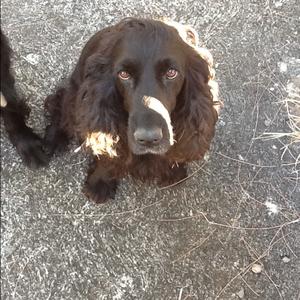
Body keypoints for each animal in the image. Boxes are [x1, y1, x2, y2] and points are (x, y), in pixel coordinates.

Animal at [44, 17, 220, 203]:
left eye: (171, 73)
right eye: (124, 74)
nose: (149, 138)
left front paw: (173, 169)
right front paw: (100, 181)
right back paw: (53, 140)